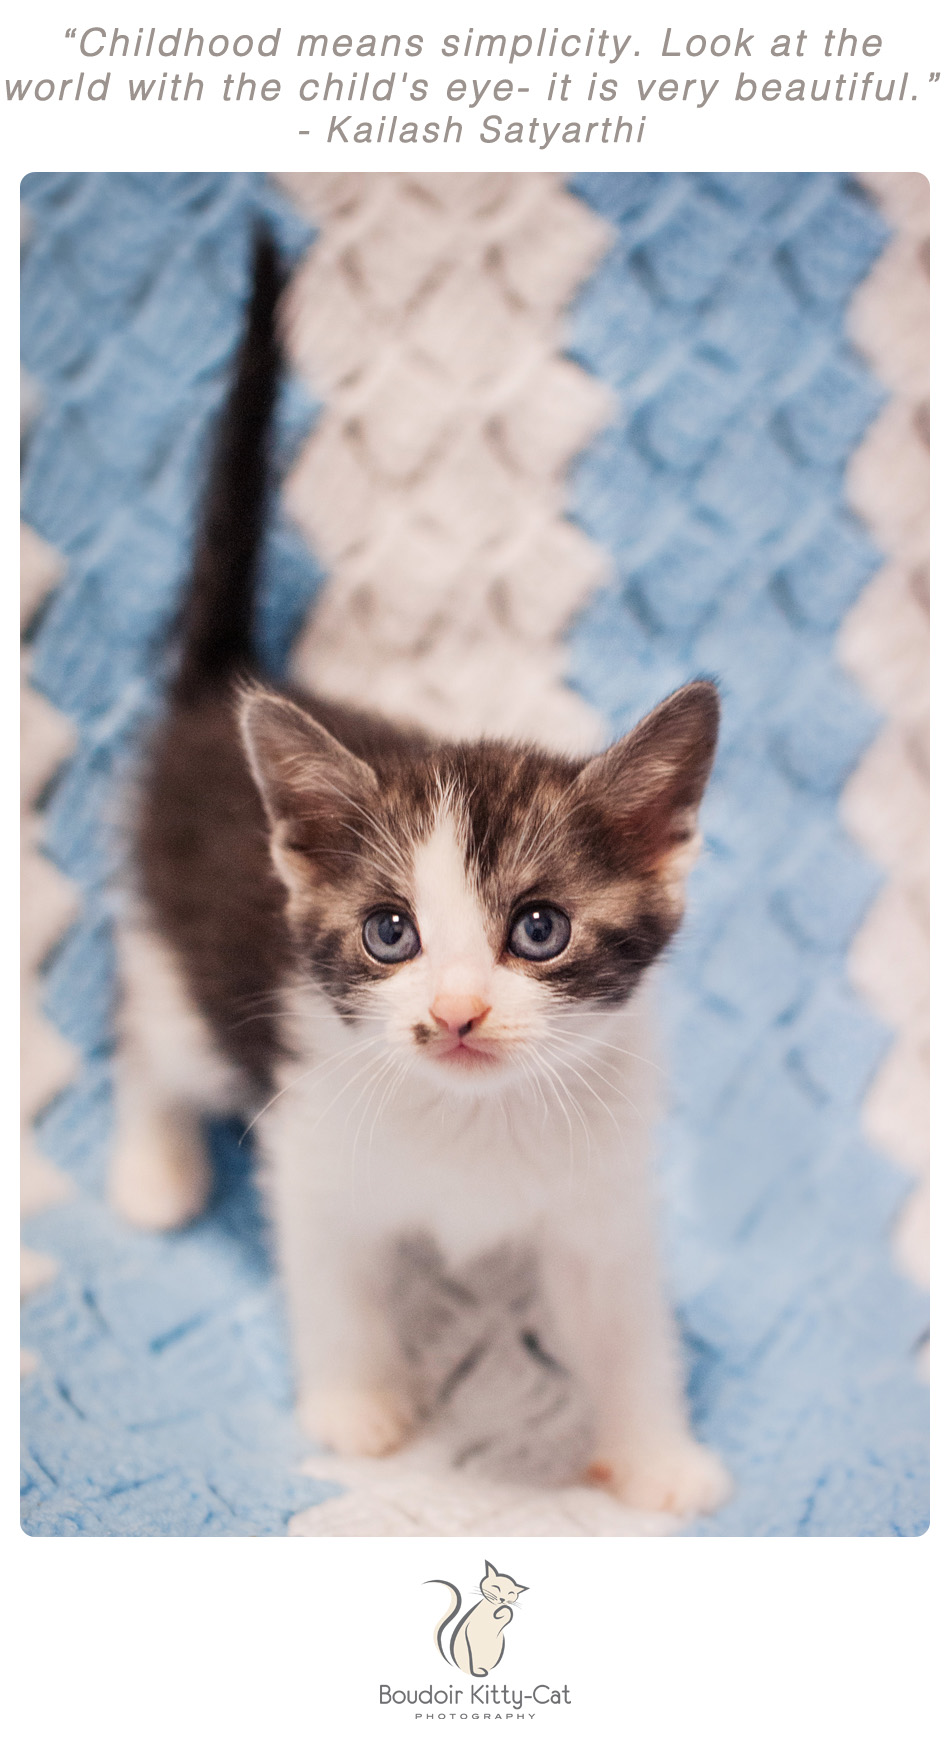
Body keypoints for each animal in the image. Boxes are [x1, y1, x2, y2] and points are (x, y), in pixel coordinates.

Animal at [111, 232, 729, 1514]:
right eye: (389, 932)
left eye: (537, 929)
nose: (453, 1012)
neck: (471, 1119)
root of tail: (215, 696)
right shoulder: (310, 1139)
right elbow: (335, 1285)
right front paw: (357, 1408)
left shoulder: (599, 1200)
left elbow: (626, 1323)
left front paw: (657, 1454)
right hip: (179, 967)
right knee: (151, 1029)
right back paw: (152, 1165)